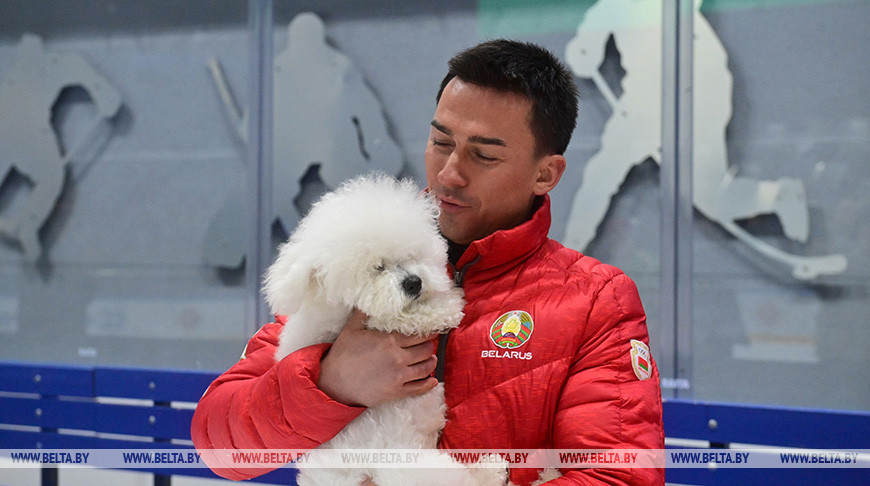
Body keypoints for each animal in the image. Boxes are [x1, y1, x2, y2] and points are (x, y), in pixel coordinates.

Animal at [262, 175, 508, 486]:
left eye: (411, 256)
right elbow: (398, 317)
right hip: (410, 465)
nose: (414, 282)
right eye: (378, 267)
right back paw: (493, 470)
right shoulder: (364, 321)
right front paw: (448, 306)